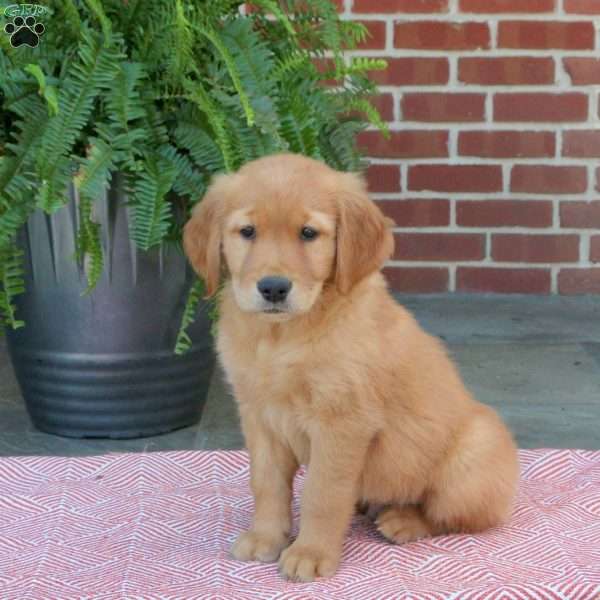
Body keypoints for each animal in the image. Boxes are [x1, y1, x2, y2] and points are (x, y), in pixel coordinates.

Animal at [183, 154, 520, 580]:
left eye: (308, 233)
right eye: (247, 231)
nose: (273, 287)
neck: (282, 338)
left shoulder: (342, 422)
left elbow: (322, 493)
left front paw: (310, 552)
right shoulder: (259, 417)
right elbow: (266, 483)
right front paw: (265, 537)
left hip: (472, 458)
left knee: (455, 515)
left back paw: (404, 519)